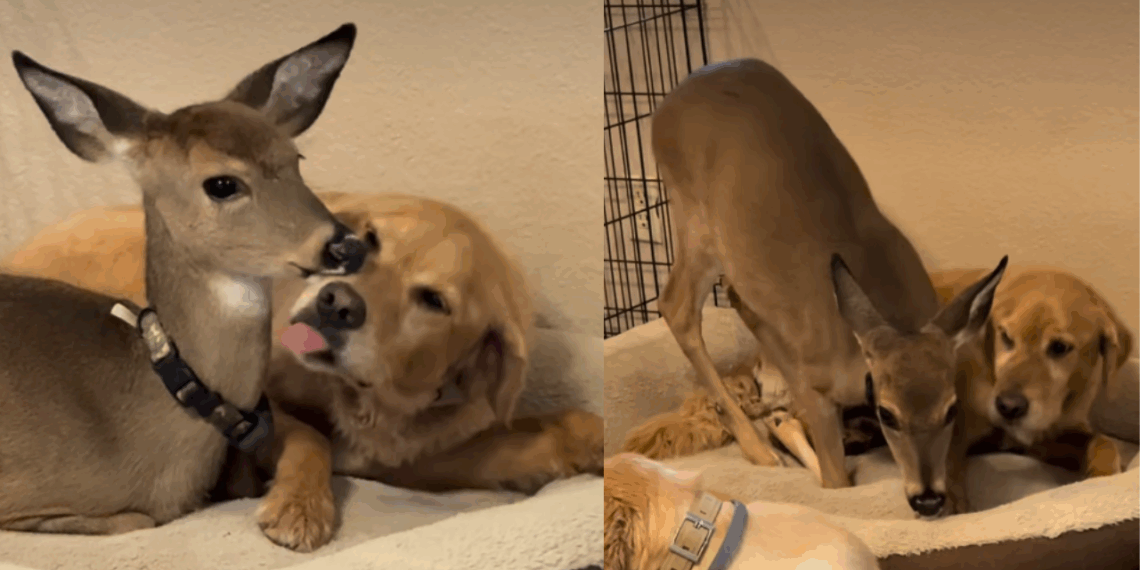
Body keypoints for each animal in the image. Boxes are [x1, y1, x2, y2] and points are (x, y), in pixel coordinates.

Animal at [650, 58, 1008, 519]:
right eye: (887, 415)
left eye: (950, 409)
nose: (926, 498)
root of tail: (665, 104)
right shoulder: (818, 391)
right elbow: (836, 484)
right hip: (695, 222)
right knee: (676, 305)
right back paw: (760, 449)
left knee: (736, 298)